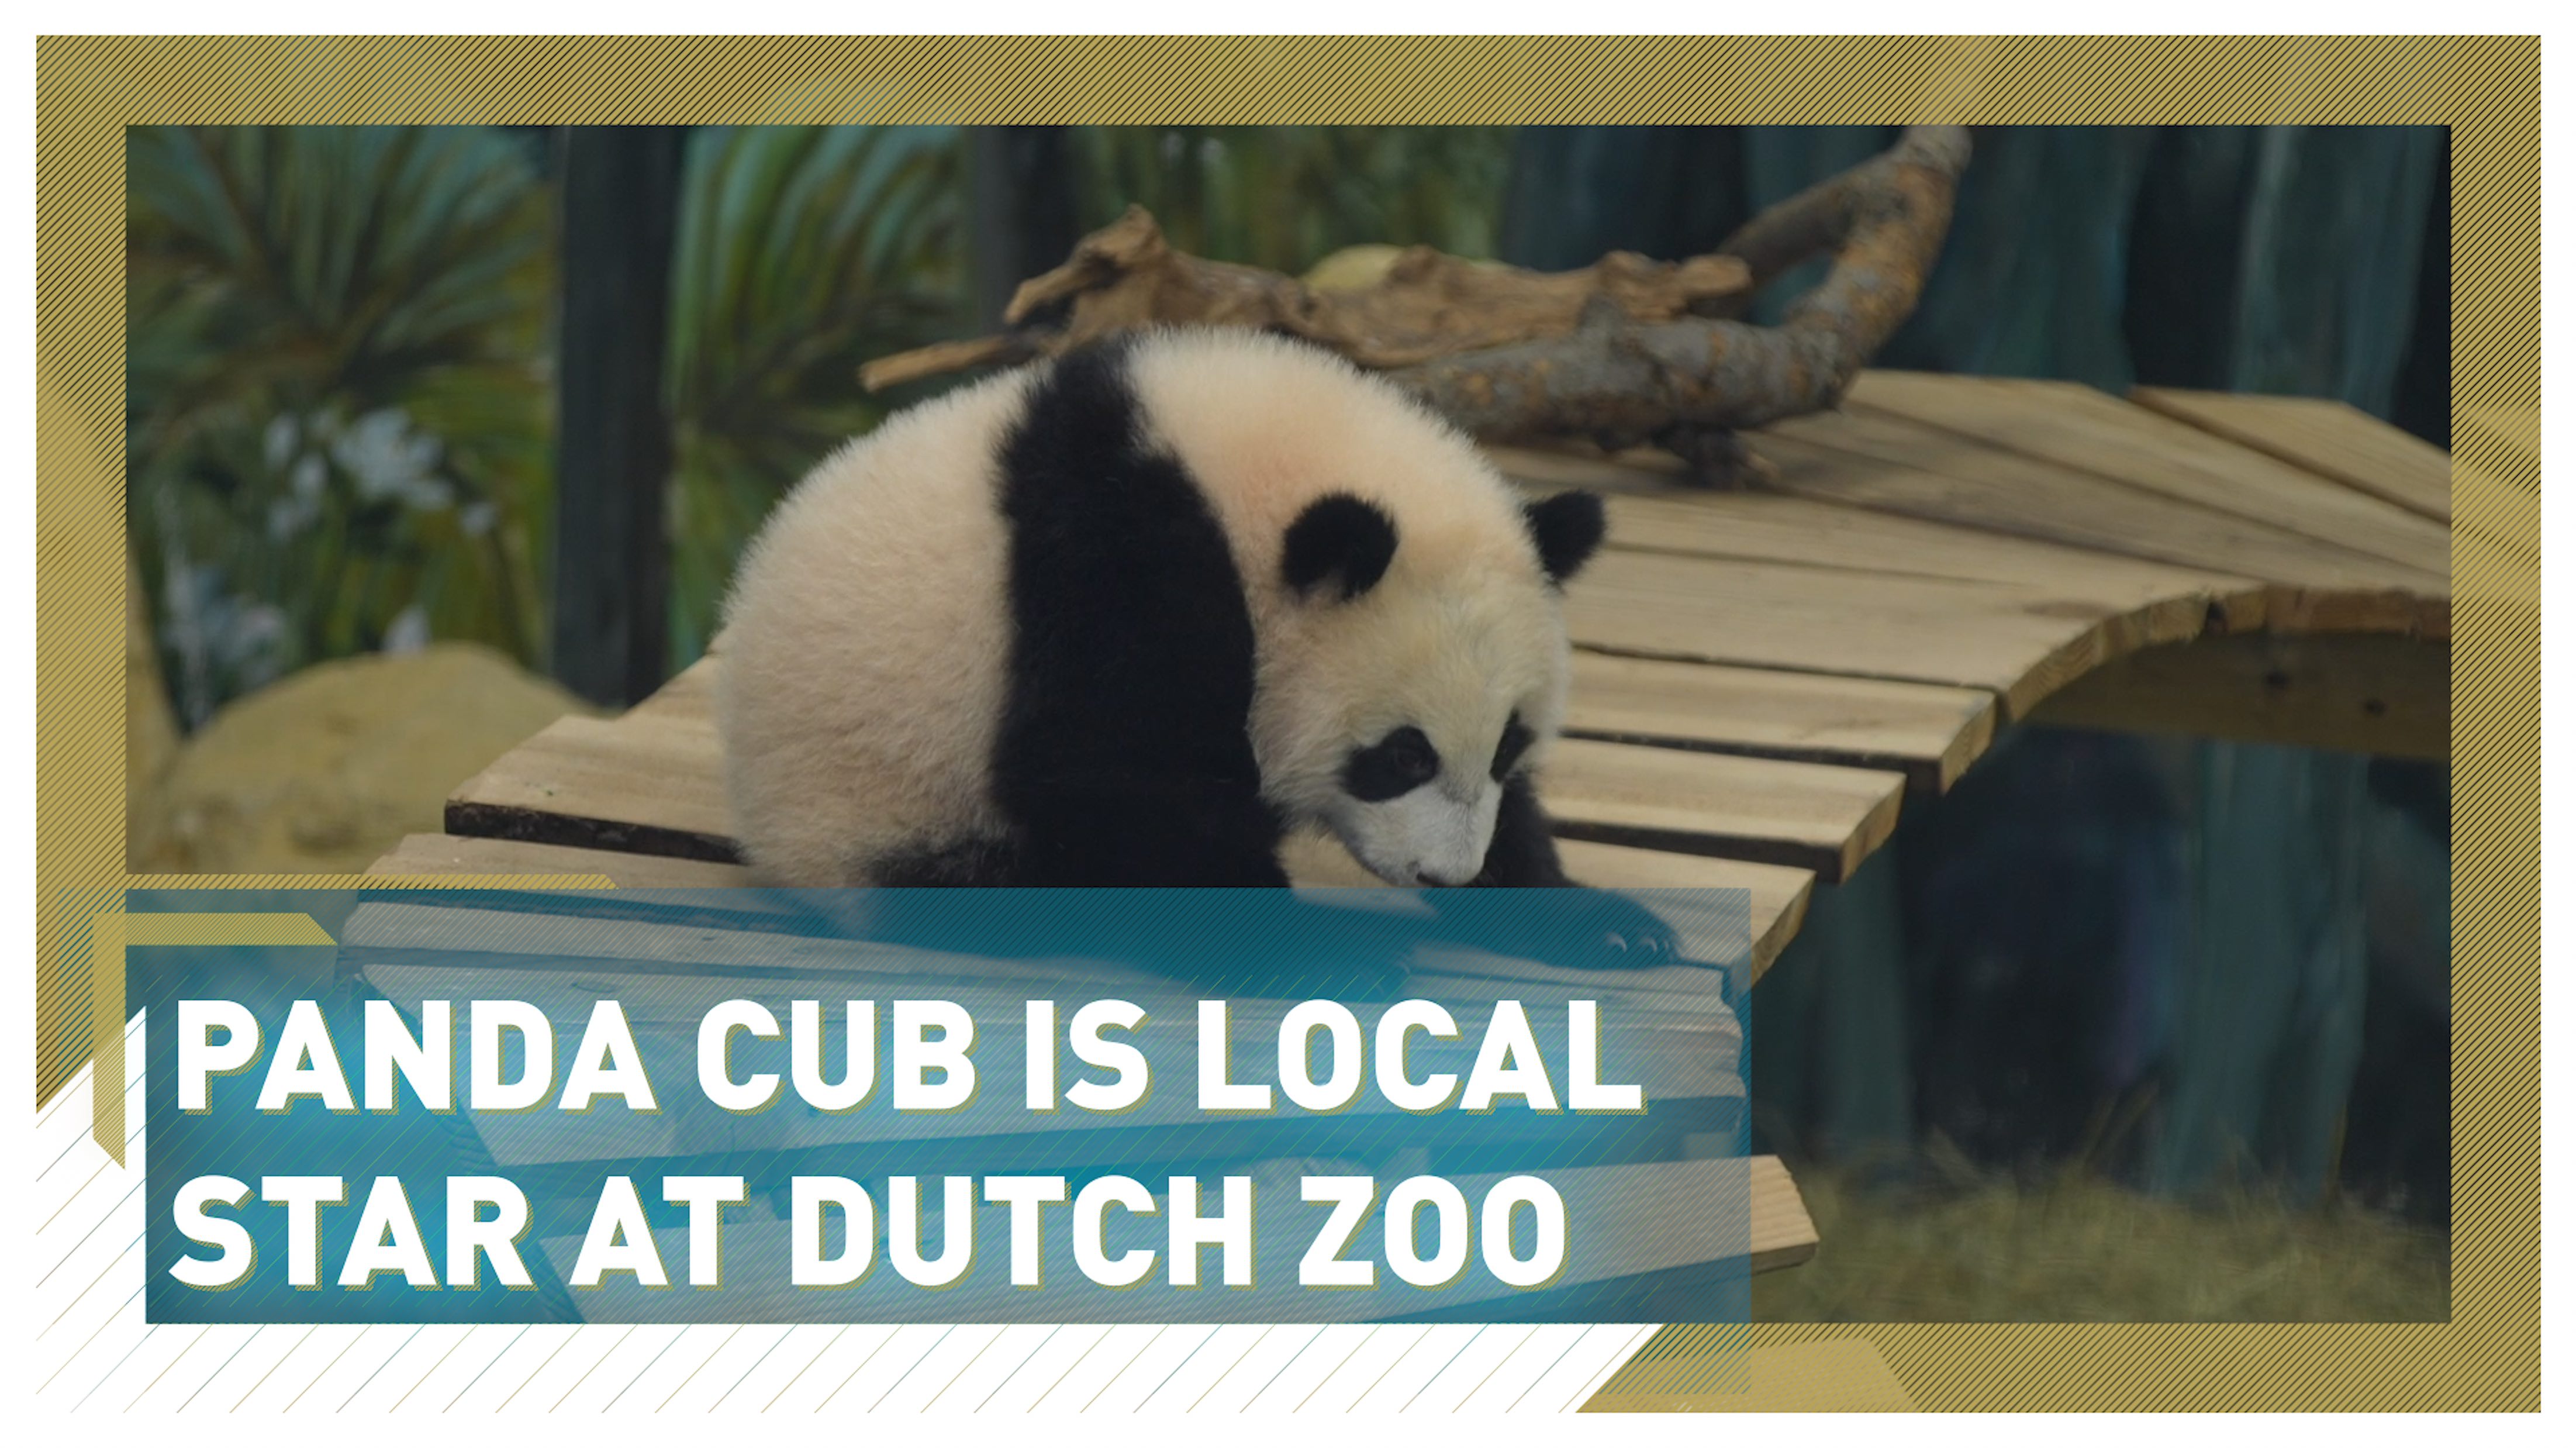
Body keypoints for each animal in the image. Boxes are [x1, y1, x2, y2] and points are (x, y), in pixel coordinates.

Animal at [716, 326, 1613, 894]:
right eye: (1402, 757)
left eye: (1508, 746)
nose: (1448, 875)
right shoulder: (1115, 561)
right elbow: (1099, 766)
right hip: (877, 801)